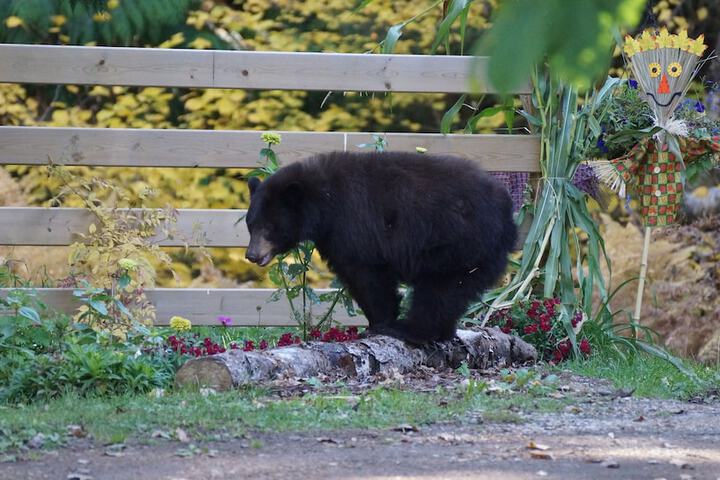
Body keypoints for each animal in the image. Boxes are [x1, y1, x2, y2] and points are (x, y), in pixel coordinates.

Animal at [248, 152, 516, 344]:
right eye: (251, 224)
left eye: (269, 226)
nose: (251, 255)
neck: (323, 201)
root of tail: (506, 213)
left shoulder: (354, 227)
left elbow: (368, 277)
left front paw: (378, 323)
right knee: (453, 293)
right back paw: (443, 332)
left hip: (458, 246)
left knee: (438, 292)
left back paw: (410, 330)